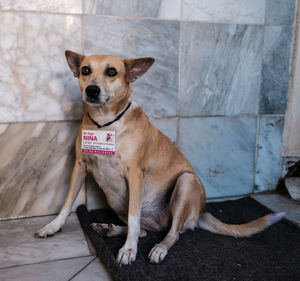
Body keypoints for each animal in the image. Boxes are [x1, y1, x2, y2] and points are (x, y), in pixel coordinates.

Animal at [36, 50, 284, 264]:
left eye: (112, 72)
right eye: (85, 70)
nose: (92, 90)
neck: (106, 124)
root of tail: (202, 211)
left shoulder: (135, 174)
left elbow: (134, 220)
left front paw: (128, 250)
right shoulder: (80, 166)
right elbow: (67, 203)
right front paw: (53, 226)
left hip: (185, 182)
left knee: (170, 233)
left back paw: (158, 248)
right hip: (115, 200)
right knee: (144, 231)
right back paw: (109, 228)